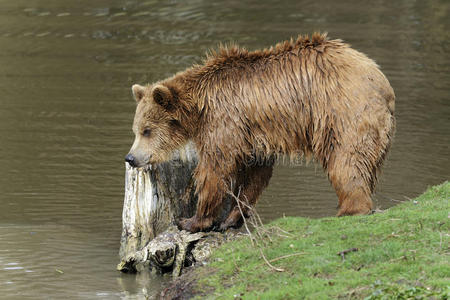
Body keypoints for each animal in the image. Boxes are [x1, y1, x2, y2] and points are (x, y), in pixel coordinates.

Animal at [125, 34, 396, 233]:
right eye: (136, 130)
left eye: (147, 130)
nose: (131, 157)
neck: (198, 108)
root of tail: (383, 82)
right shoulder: (252, 134)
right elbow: (255, 173)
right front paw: (231, 218)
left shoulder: (224, 120)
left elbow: (215, 167)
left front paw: (192, 220)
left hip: (342, 113)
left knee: (346, 161)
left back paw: (349, 209)